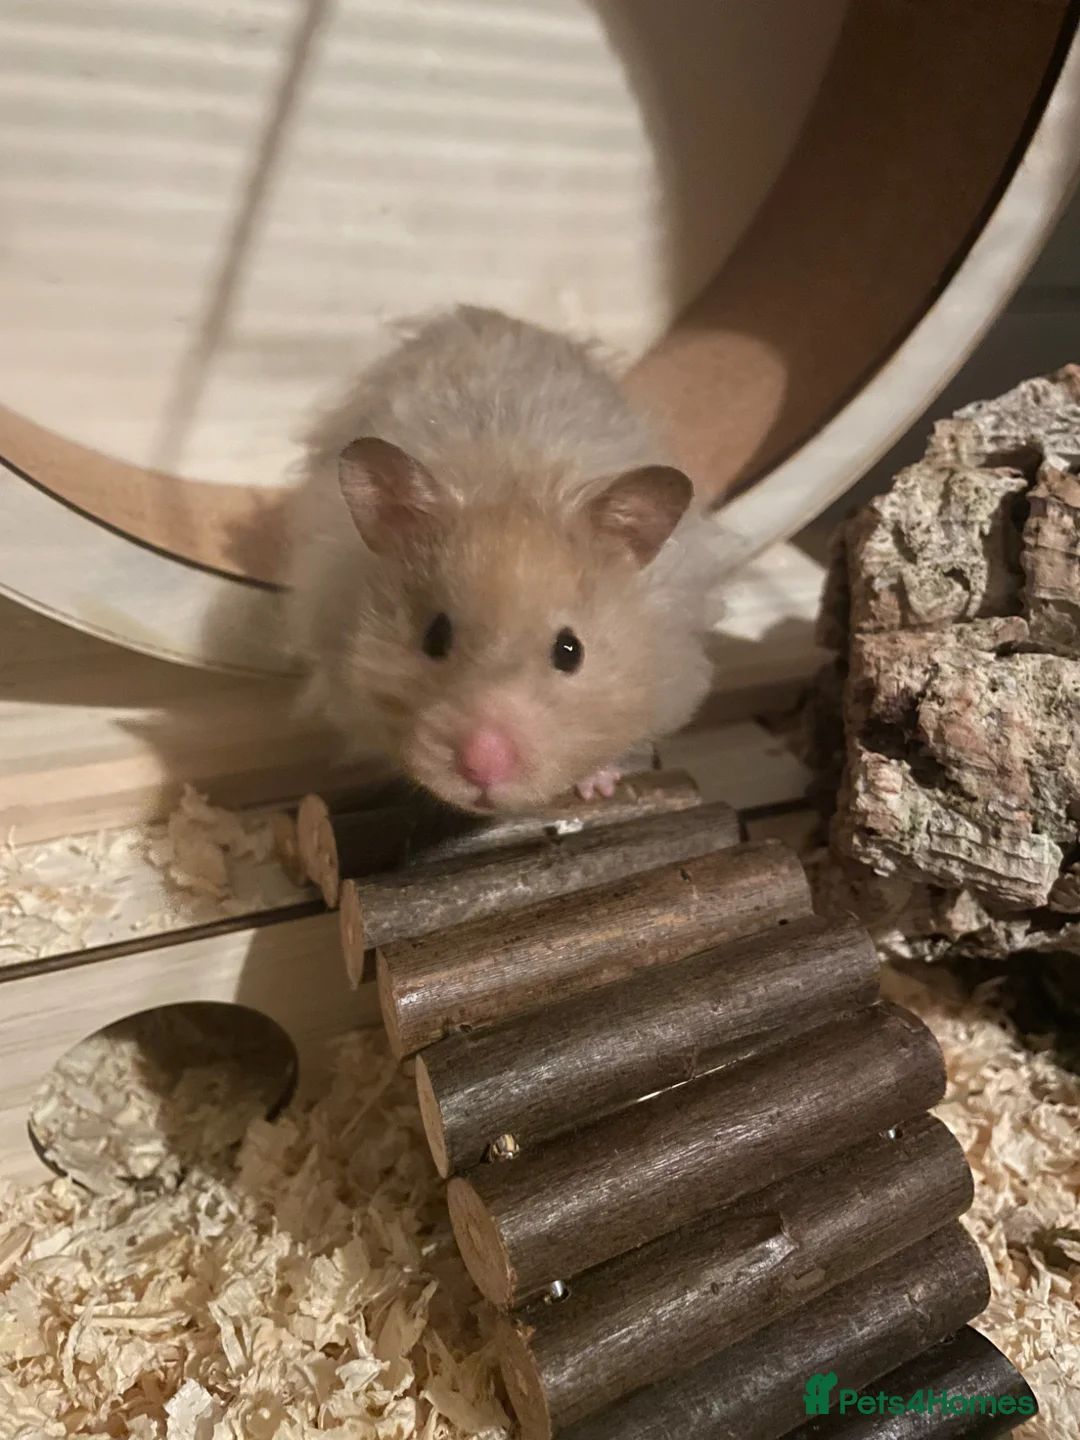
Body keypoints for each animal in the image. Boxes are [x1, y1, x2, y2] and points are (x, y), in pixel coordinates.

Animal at [287, 305, 716, 813]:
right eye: (433, 637)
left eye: (570, 650)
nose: (482, 766)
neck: (515, 479)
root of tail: (484, 313)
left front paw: (599, 786)